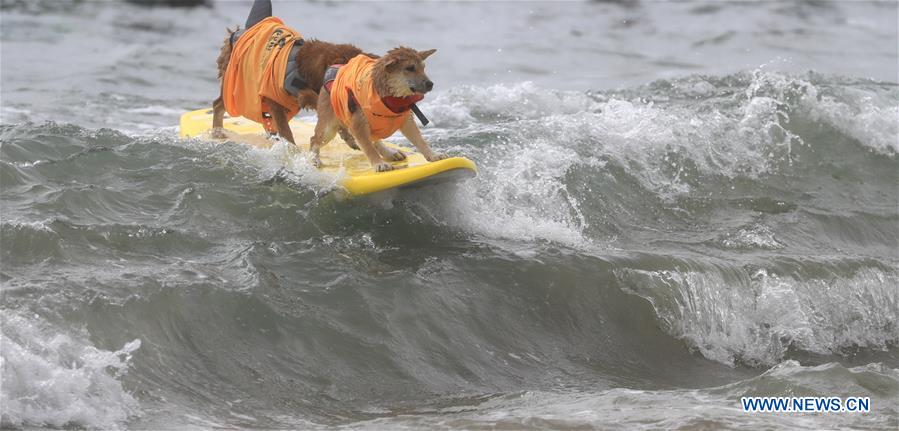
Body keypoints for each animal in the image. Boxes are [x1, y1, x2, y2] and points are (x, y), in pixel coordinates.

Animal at [312, 46, 448, 172]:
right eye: (410, 68)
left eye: (423, 67)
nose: (430, 84)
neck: (389, 96)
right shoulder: (357, 124)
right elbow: (368, 147)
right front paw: (379, 164)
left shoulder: (406, 120)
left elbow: (420, 140)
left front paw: (433, 155)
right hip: (328, 128)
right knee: (314, 140)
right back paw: (315, 159)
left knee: (375, 140)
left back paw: (390, 153)